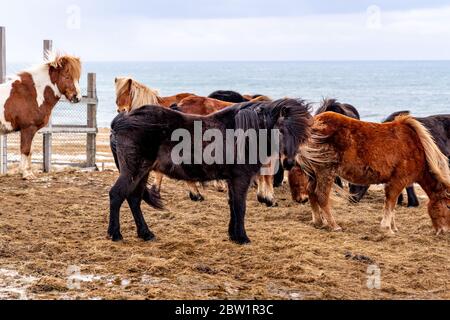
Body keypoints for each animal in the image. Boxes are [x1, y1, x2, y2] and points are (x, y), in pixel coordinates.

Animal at [109, 100, 312, 245]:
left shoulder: (232, 179)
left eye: (303, 134)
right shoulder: (241, 178)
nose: (289, 163)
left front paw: (233, 235)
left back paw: (146, 234)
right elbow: (240, 206)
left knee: (134, 199)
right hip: (134, 171)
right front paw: (242, 238)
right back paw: (115, 234)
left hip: (142, 173)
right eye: (281, 130)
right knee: (117, 194)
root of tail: (120, 122)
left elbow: (232, 205)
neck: (246, 135)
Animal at [298, 112, 450, 235]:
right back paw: (334, 226)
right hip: (325, 171)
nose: (444, 231)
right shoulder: (397, 182)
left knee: (311, 192)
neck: (416, 147)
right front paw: (387, 229)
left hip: (314, 174)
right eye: (448, 206)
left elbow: (392, 205)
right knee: (321, 196)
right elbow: (390, 203)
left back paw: (318, 222)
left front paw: (393, 227)